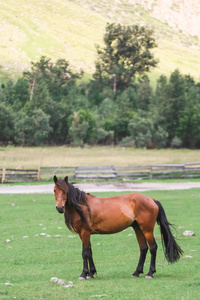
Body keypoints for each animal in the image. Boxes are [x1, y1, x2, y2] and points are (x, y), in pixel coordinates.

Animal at [52, 175, 183, 280]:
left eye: (65, 191)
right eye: (54, 190)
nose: (60, 208)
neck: (82, 206)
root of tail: (151, 199)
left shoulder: (85, 232)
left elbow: (85, 253)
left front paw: (84, 274)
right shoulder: (83, 234)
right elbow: (90, 252)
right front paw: (91, 273)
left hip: (147, 229)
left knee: (153, 247)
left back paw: (150, 273)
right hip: (138, 228)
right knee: (143, 248)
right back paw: (136, 272)